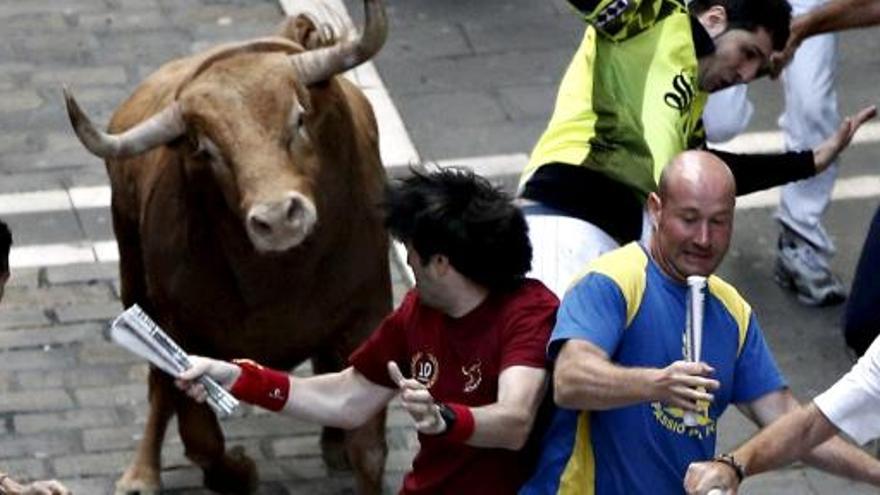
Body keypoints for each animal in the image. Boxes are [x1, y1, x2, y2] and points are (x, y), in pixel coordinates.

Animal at [63, 1, 390, 494]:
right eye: (206, 148)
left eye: (299, 118)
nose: (277, 219)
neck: (281, 279)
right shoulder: (179, 330)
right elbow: (199, 435)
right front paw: (240, 471)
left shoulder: (368, 313)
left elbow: (367, 446)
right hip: (132, 277)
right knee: (158, 391)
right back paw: (142, 472)